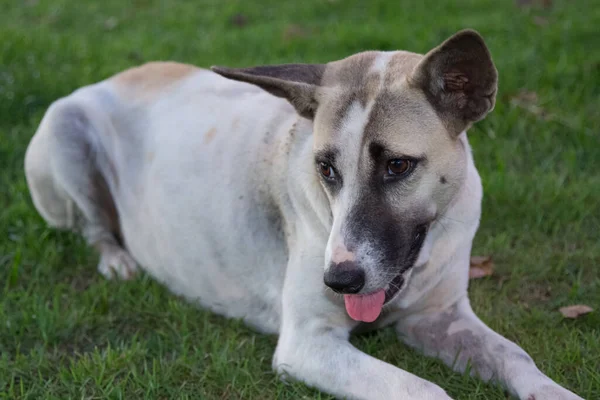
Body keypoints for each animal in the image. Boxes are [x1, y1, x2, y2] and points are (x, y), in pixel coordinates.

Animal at [25, 29, 584, 398]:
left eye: (398, 166)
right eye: (326, 169)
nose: (339, 279)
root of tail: (114, 76)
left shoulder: (440, 317)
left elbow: (516, 355)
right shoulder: (308, 345)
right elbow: (426, 390)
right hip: (64, 129)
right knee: (92, 227)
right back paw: (116, 260)